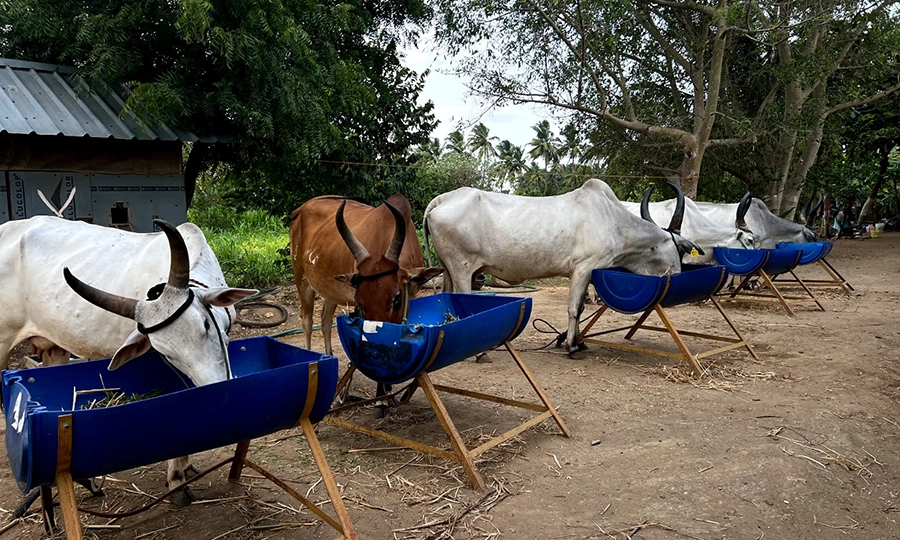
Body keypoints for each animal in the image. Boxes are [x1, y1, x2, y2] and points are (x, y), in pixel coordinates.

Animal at [288, 195, 442, 415]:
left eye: (396, 299)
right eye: (361, 303)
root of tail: (301, 210)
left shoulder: (409, 298)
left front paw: (387, 392)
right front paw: (381, 399)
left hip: (329, 291)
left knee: (325, 321)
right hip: (302, 281)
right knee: (307, 321)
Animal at [422, 179, 703, 355]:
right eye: (680, 249)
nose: (678, 275)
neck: (615, 222)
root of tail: (442, 199)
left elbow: (580, 308)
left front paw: (577, 340)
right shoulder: (583, 268)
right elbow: (574, 308)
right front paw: (571, 345)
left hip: (449, 269)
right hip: (462, 268)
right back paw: (481, 354)